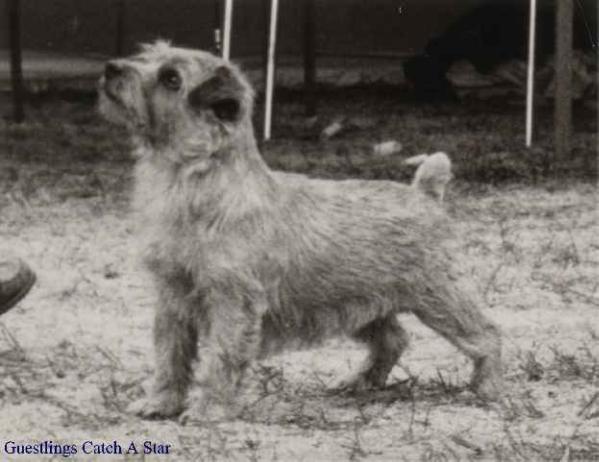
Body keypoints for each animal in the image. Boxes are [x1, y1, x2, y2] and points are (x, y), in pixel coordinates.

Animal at [97, 42, 502, 418]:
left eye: (171, 78)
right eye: (145, 54)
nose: (111, 66)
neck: (190, 184)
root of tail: (423, 193)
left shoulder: (231, 301)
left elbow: (221, 358)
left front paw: (209, 409)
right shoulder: (172, 299)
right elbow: (170, 356)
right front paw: (160, 403)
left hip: (441, 300)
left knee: (486, 335)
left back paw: (485, 388)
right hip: (360, 306)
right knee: (394, 339)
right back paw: (359, 381)